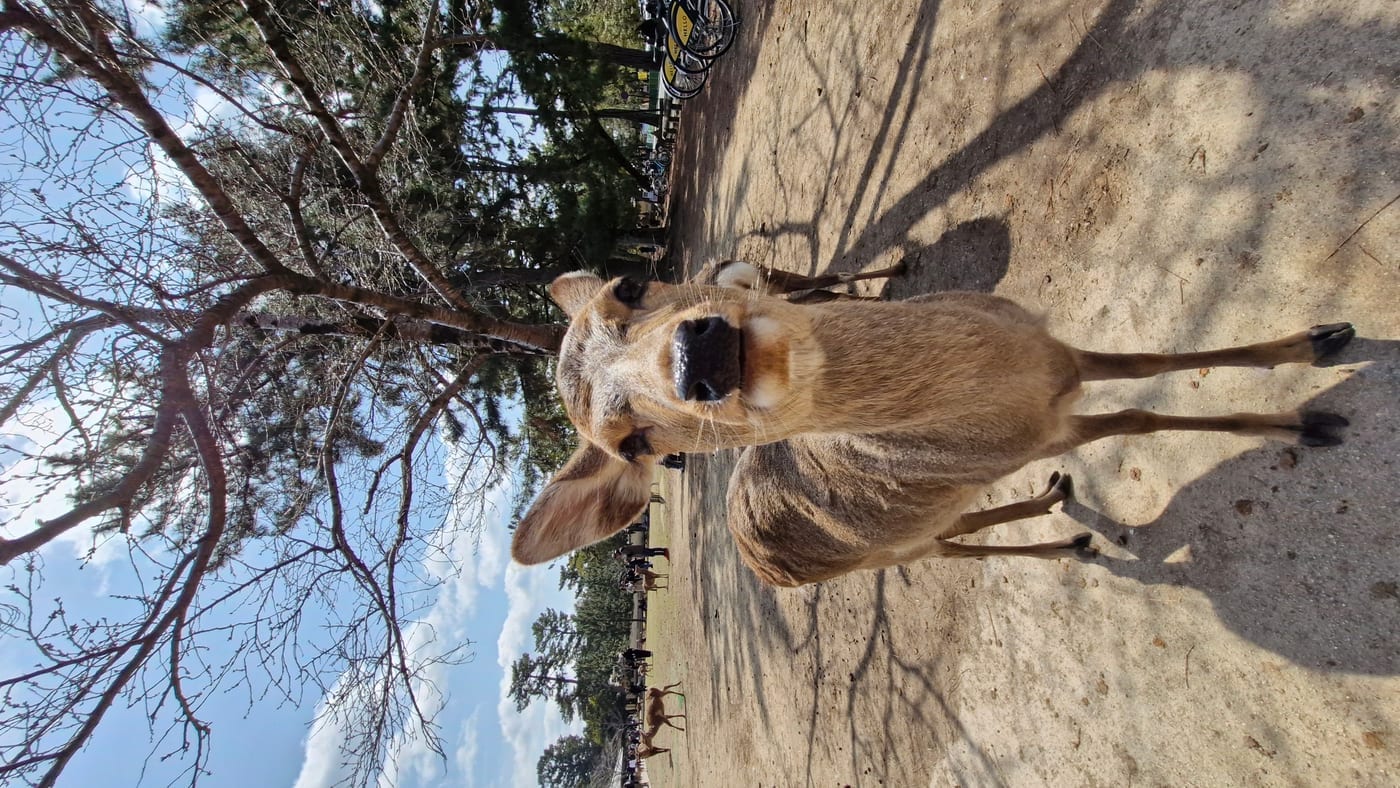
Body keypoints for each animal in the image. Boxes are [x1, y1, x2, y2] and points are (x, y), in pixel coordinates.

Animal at [509, 268, 1355, 586]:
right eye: (634, 445)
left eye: (629, 282)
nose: (698, 357)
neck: (1007, 385)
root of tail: (761, 563)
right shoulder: (1054, 425)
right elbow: (1143, 416)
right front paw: (1312, 423)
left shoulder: (1062, 356)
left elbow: (1156, 357)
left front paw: (1324, 338)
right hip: (889, 554)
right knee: (950, 545)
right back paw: (1067, 539)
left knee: (963, 517)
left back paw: (1061, 510)